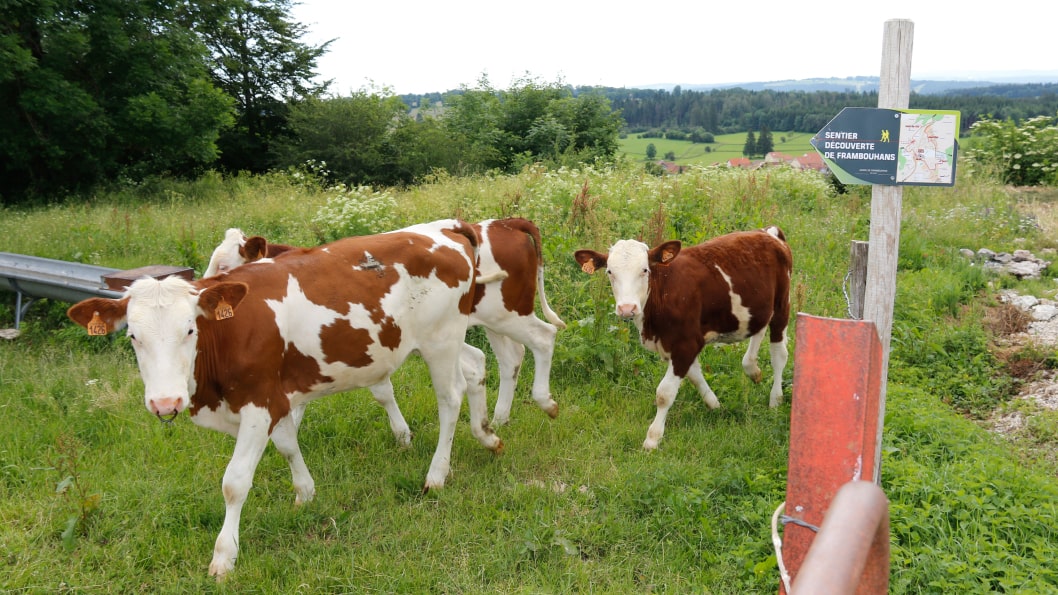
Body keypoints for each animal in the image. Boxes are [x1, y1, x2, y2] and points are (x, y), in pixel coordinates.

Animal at [67, 219, 503, 578]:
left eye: (190, 329)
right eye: (132, 336)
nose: (164, 403)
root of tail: (445, 227)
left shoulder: (259, 403)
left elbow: (235, 482)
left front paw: (224, 556)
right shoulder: (275, 399)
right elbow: (289, 445)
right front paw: (305, 493)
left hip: (441, 337)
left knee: (450, 398)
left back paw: (437, 474)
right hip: (439, 340)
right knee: (476, 365)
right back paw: (487, 435)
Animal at [204, 217, 567, 427]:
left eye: (224, 267)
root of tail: (507, 222)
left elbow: (380, 390)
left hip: (509, 312)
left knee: (544, 337)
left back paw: (544, 402)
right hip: (495, 321)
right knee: (511, 358)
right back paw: (500, 418)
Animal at [574, 226, 792, 450]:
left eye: (644, 270)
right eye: (610, 272)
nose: (627, 308)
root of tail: (767, 232)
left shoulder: (686, 343)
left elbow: (665, 393)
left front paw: (652, 438)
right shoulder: (678, 344)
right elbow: (695, 375)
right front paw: (715, 404)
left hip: (782, 303)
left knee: (779, 355)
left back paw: (775, 399)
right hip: (757, 308)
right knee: (758, 332)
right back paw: (753, 370)